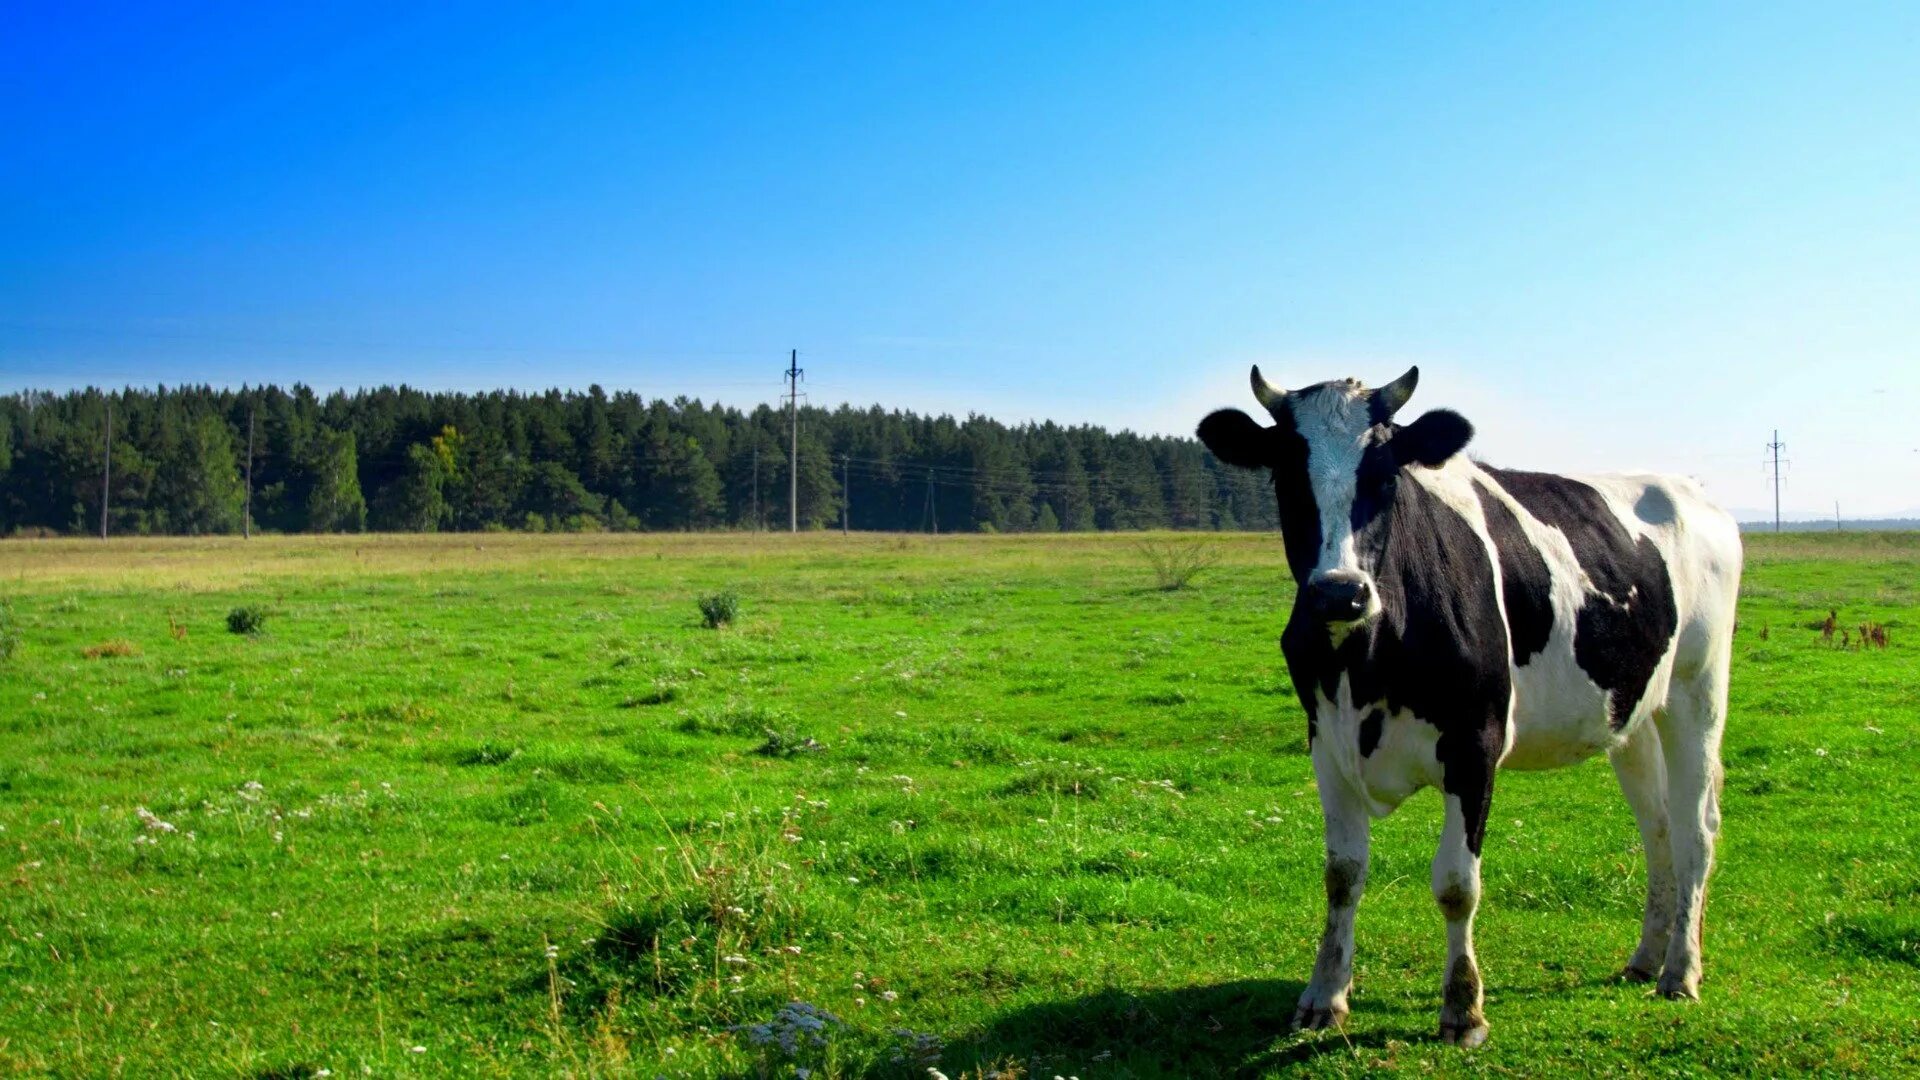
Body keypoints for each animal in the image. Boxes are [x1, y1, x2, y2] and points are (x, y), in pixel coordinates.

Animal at [1205, 363, 1751, 1045]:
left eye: (1385, 476)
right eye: (1285, 475)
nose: (1339, 594)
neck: (1367, 659)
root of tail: (1690, 489)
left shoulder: (1476, 744)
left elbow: (1456, 884)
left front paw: (1463, 1008)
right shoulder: (1326, 743)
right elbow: (1342, 875)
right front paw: (1324, 994)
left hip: (1698, 688)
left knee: (1694, 827)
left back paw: (1681, 970)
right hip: (1633, 714)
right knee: (1657, 827)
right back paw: (1646, 958)